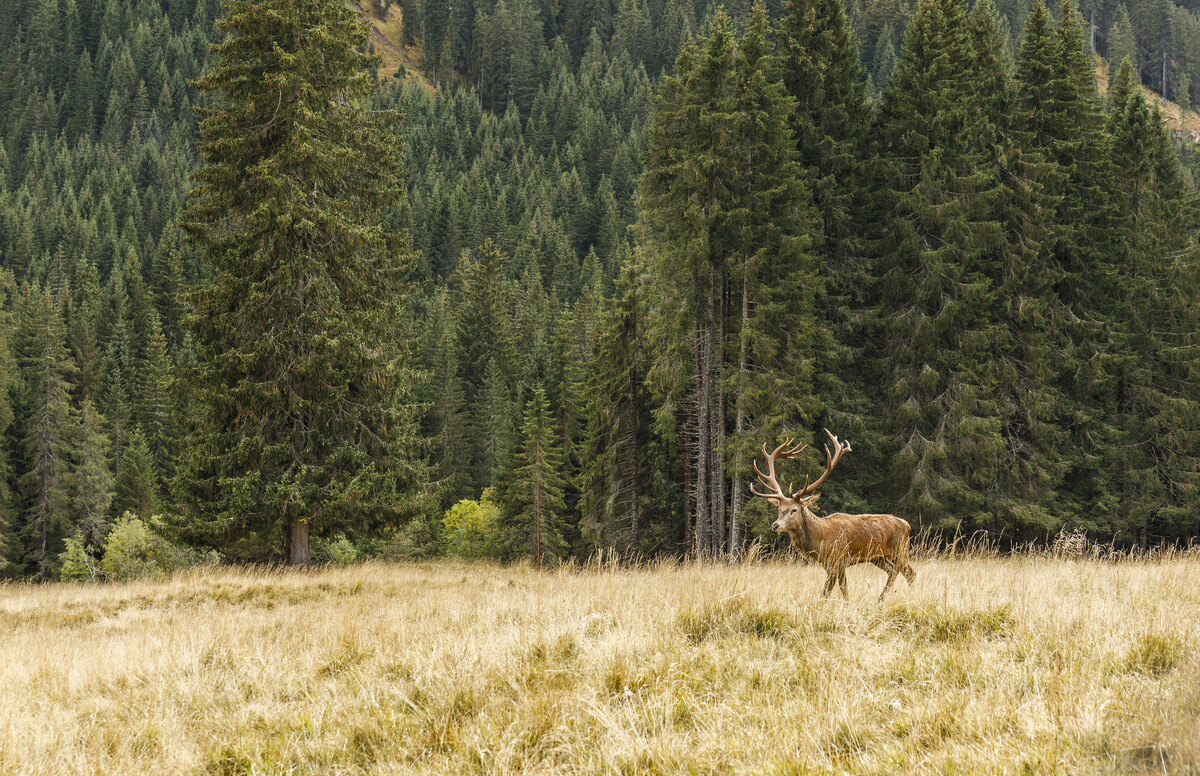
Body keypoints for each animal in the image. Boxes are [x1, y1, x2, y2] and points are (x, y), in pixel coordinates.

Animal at [753, 431, 912, 602]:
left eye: (794, 510)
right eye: (779, 509)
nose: (775, 525)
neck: (821, 540)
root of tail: (908, 525)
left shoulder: (838, 559)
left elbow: (832, 590)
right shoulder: (829, 564)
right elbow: (838, 590)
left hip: (901, 551)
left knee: (909, 573)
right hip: (879, 557)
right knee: (894, 571)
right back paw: (880, 599)